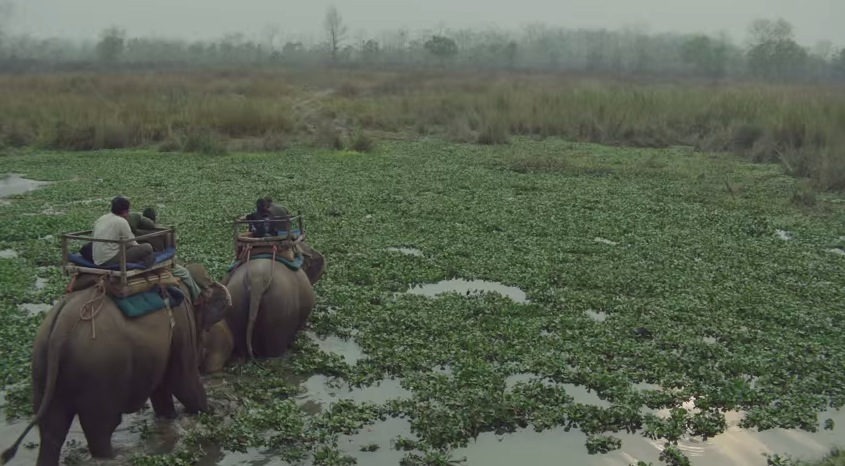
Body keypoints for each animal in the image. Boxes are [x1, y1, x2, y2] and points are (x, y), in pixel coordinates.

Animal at [0, 262, 231, 466]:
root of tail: (60, 328)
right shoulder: (183, 324)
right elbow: (183, 381)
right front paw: (213, 411)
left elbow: (162, 390)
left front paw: (172, 418)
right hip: (98, 373)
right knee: (100, 428)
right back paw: (110, 455)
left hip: (42, 365)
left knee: (51, 431)